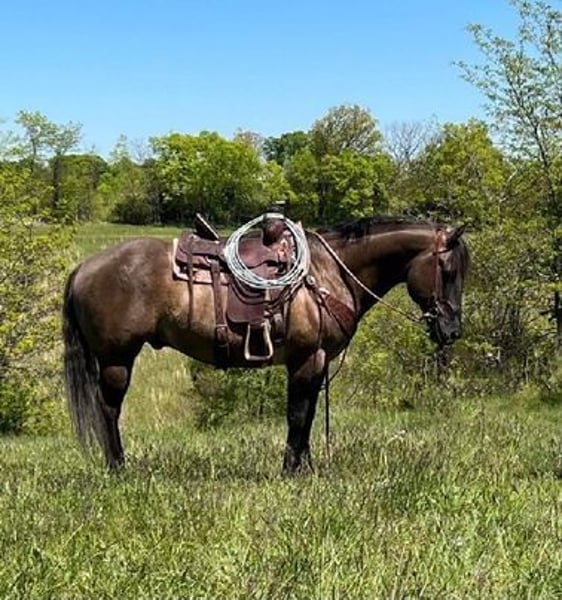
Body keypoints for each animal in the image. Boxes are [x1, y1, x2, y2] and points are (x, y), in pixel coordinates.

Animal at [62, 216, 469, 474]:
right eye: (448, 271)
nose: (451, 331)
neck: (327, 274)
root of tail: (84, 267)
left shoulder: (316, 362)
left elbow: (306, 415)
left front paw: (305, 466)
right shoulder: (306, 358)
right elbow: (298, 415)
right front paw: (291, 469)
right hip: (117, 359)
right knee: (109, 410)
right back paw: (119, 467)